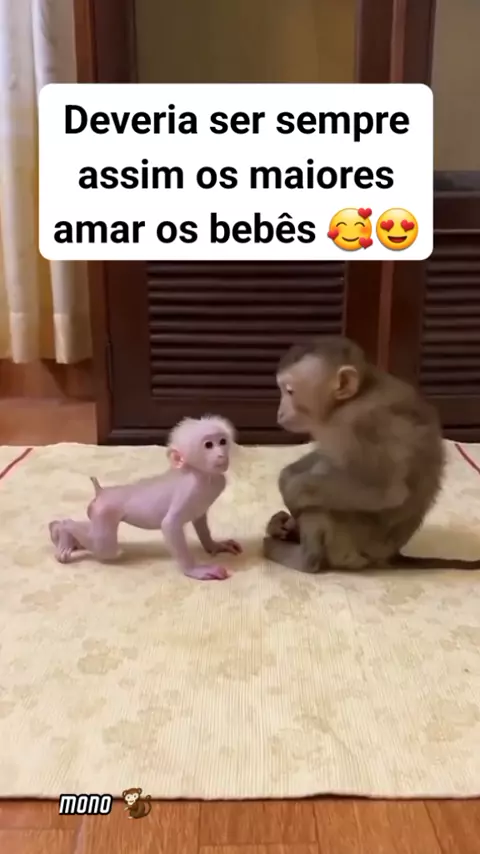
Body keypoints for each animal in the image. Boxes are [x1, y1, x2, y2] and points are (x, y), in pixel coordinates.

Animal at [48, 415, 242, 581]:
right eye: (208, 445)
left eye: (222, 441)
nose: (221, 454)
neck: (202, 475)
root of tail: (101, 492)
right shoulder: (190, 490)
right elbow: (169, 525)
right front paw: (194, 570)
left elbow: (200, 520)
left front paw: (214, 545)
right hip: (104, 512)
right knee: (105, 548)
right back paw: (63, 529)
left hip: (96, 513)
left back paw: (67, 538)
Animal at [263, 336, 480, 573]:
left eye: (290, 391)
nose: (279, 413)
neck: (349, 400)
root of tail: (391, 556)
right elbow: (328, 455)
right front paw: (286, 477)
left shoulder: (363, 422)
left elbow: (385, 491)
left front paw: (291, 490)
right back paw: (283, 527)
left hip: (348, 546)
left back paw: (303, 556)